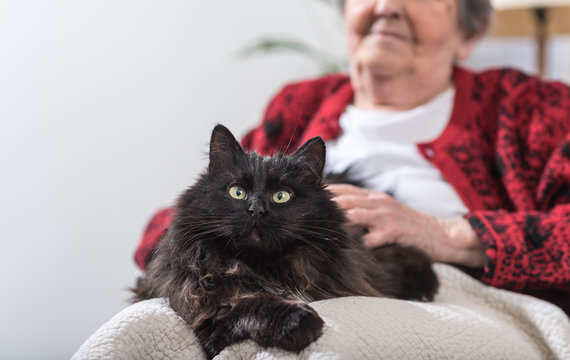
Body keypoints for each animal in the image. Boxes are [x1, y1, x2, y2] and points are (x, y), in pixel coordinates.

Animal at [132, 125, 434, 358]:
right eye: (237, 192)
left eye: (281, 196)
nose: (256, 210)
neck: (264, 267)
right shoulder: (205, 313)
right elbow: (251, 304)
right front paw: (298, 322)